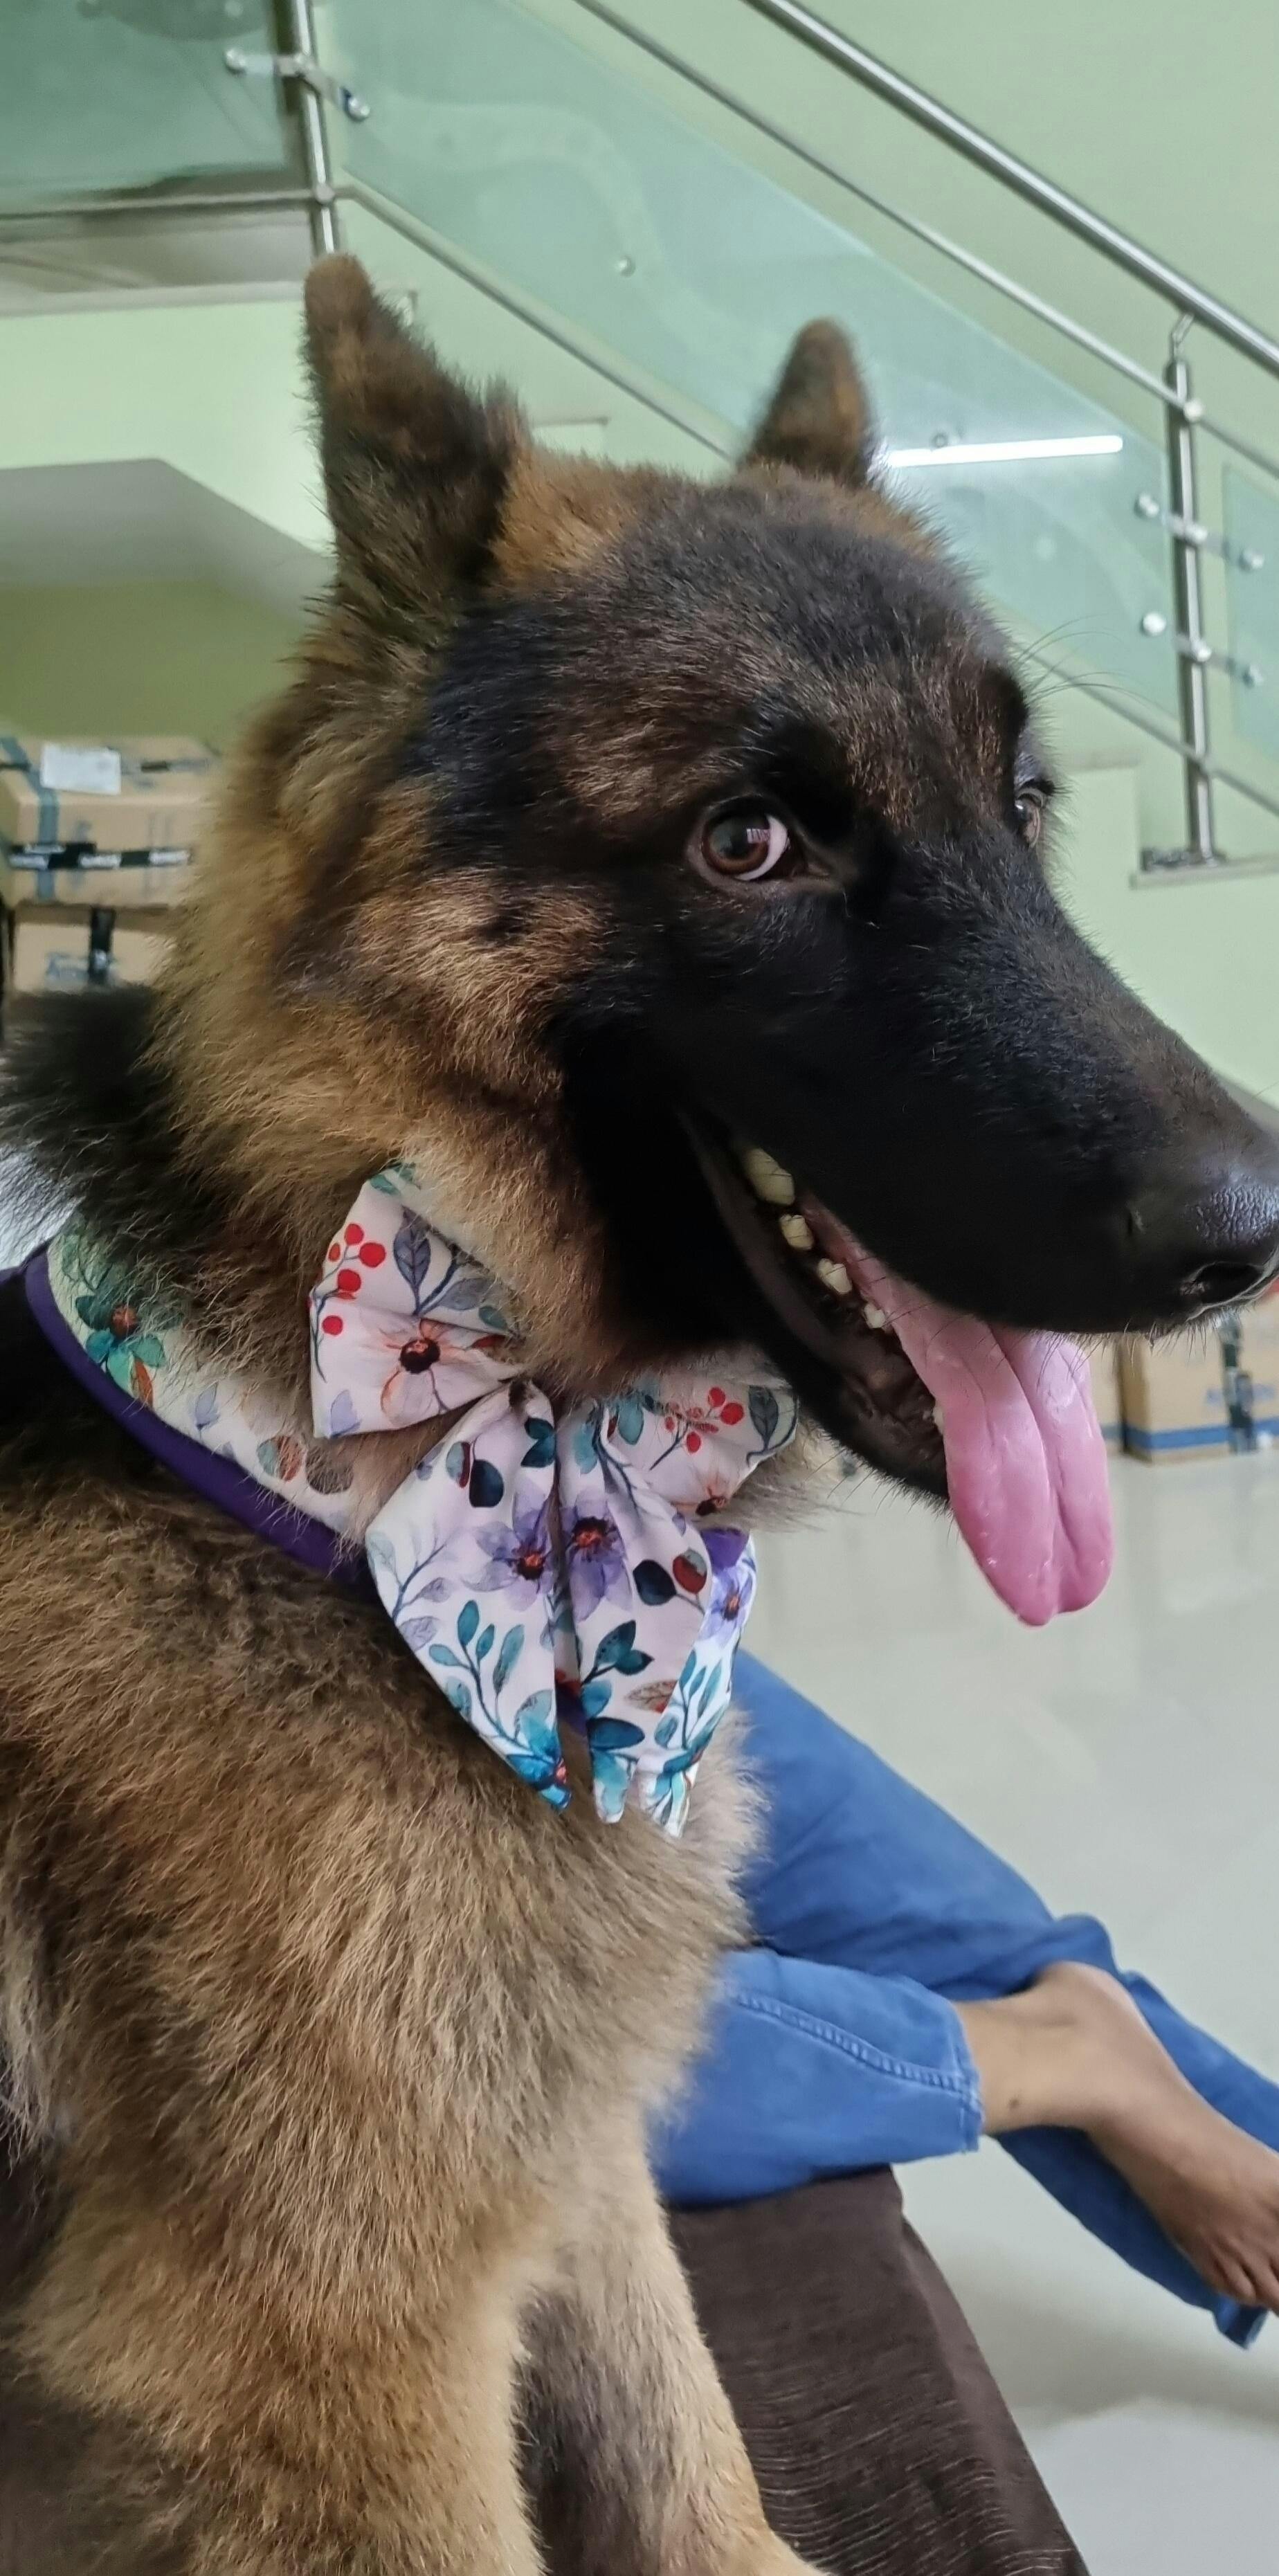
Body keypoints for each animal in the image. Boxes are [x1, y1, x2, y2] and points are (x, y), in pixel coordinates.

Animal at [2, 255, 1278, 2573]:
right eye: (748, 842)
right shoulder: (336, 2363)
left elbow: (687, 2442)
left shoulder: (562, 2140)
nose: (1256, 1239)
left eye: (1022, 806)